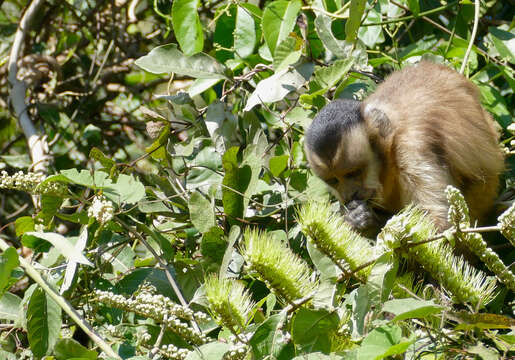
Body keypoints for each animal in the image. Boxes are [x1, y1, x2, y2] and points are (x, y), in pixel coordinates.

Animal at [306, 62, 504, 236]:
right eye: (334, 181)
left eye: (354, 173)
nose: (349, 194)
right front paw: (356, 217)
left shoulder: (411, 148)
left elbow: (440, 225)